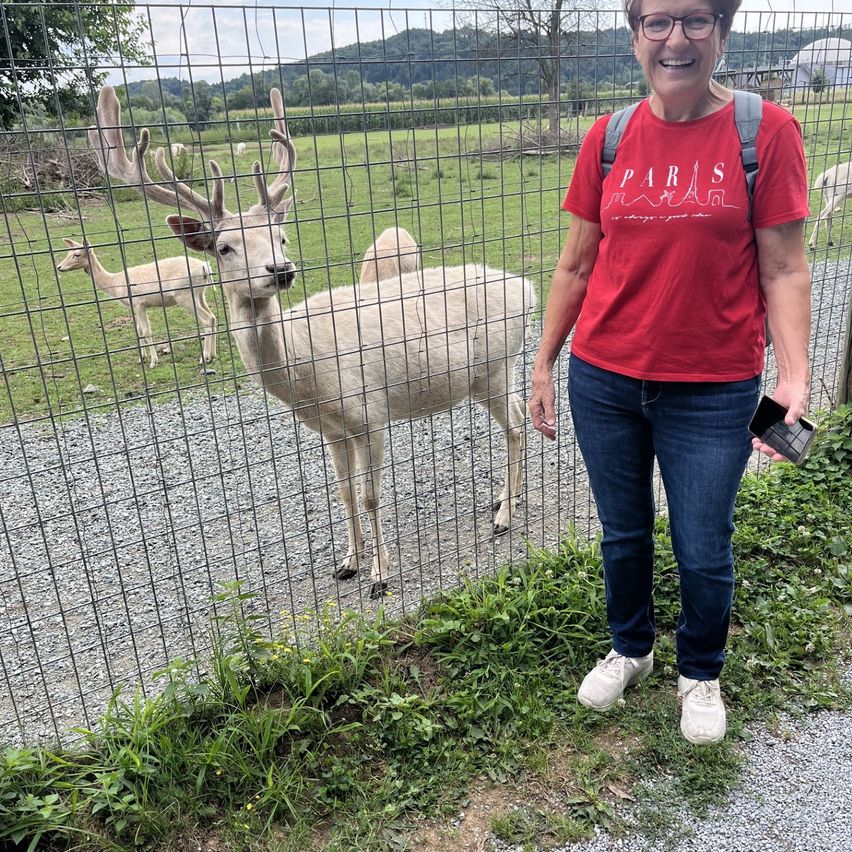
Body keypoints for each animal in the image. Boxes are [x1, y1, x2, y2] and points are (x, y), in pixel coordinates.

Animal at [56, 237, 217, 368]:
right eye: (68, 252)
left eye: (76, 254)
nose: (59, 267)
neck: (115, 284)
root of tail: (205, 267)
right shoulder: (134, 306)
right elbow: (138, 330)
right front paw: (141, 358)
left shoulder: (139, 303)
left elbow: (145, 331)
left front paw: (153, 361)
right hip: (199, 293)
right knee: (213, 316)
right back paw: (212, 355)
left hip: (184, 295)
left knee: (206, 319)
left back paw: (203, 358)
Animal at [88, 84, 535, 598]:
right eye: (224, 247)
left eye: (280, 236)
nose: (281, 269)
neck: (306, 374)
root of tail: (528, 289)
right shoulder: (331, 429)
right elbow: (343, 492)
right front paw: (348, 562)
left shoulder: (369, 413)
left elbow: (370, 495)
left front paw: (381, 575)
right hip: (493, 374)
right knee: (520, 415)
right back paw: (504, 497)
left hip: (496, 367)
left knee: (516, 424)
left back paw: (504, 517)